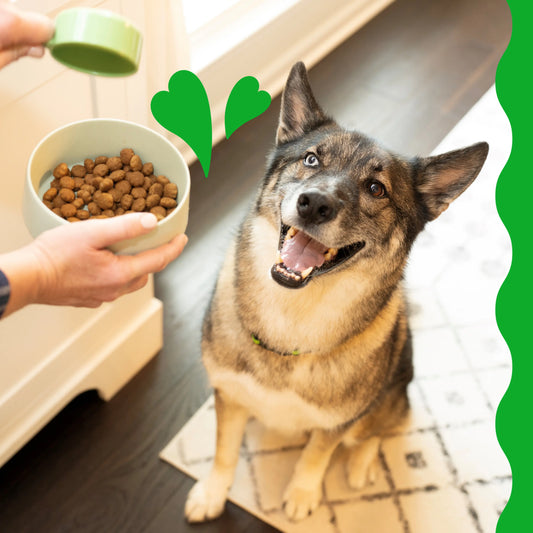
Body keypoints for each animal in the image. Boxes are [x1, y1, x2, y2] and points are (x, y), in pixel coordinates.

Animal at [183, 61, 486, 520]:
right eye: (311, 159)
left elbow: (317, 455)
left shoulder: (335, 424)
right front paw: (213, 493)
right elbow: (224, 451)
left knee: (376, 430)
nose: (313, 204)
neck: (292, 313)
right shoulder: (229, 397)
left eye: (377, 188)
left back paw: (360, 464)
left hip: (394, 393)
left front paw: (302, 494)